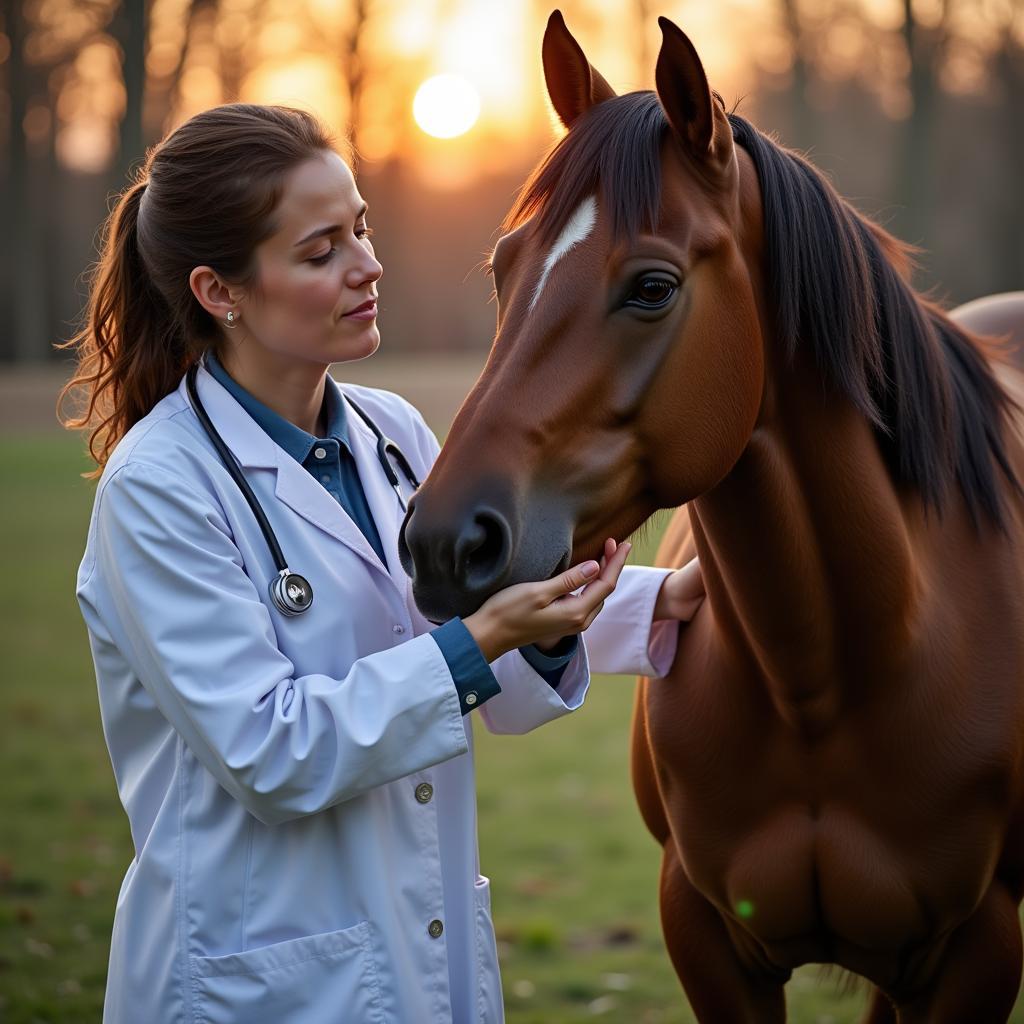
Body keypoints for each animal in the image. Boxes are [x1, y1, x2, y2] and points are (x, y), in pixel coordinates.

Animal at [395, 9, 1024, 1024]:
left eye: (652, 286)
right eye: (503, 270)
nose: (446, 541)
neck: (831, 678)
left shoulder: (976, 951)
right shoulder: (704, 934)